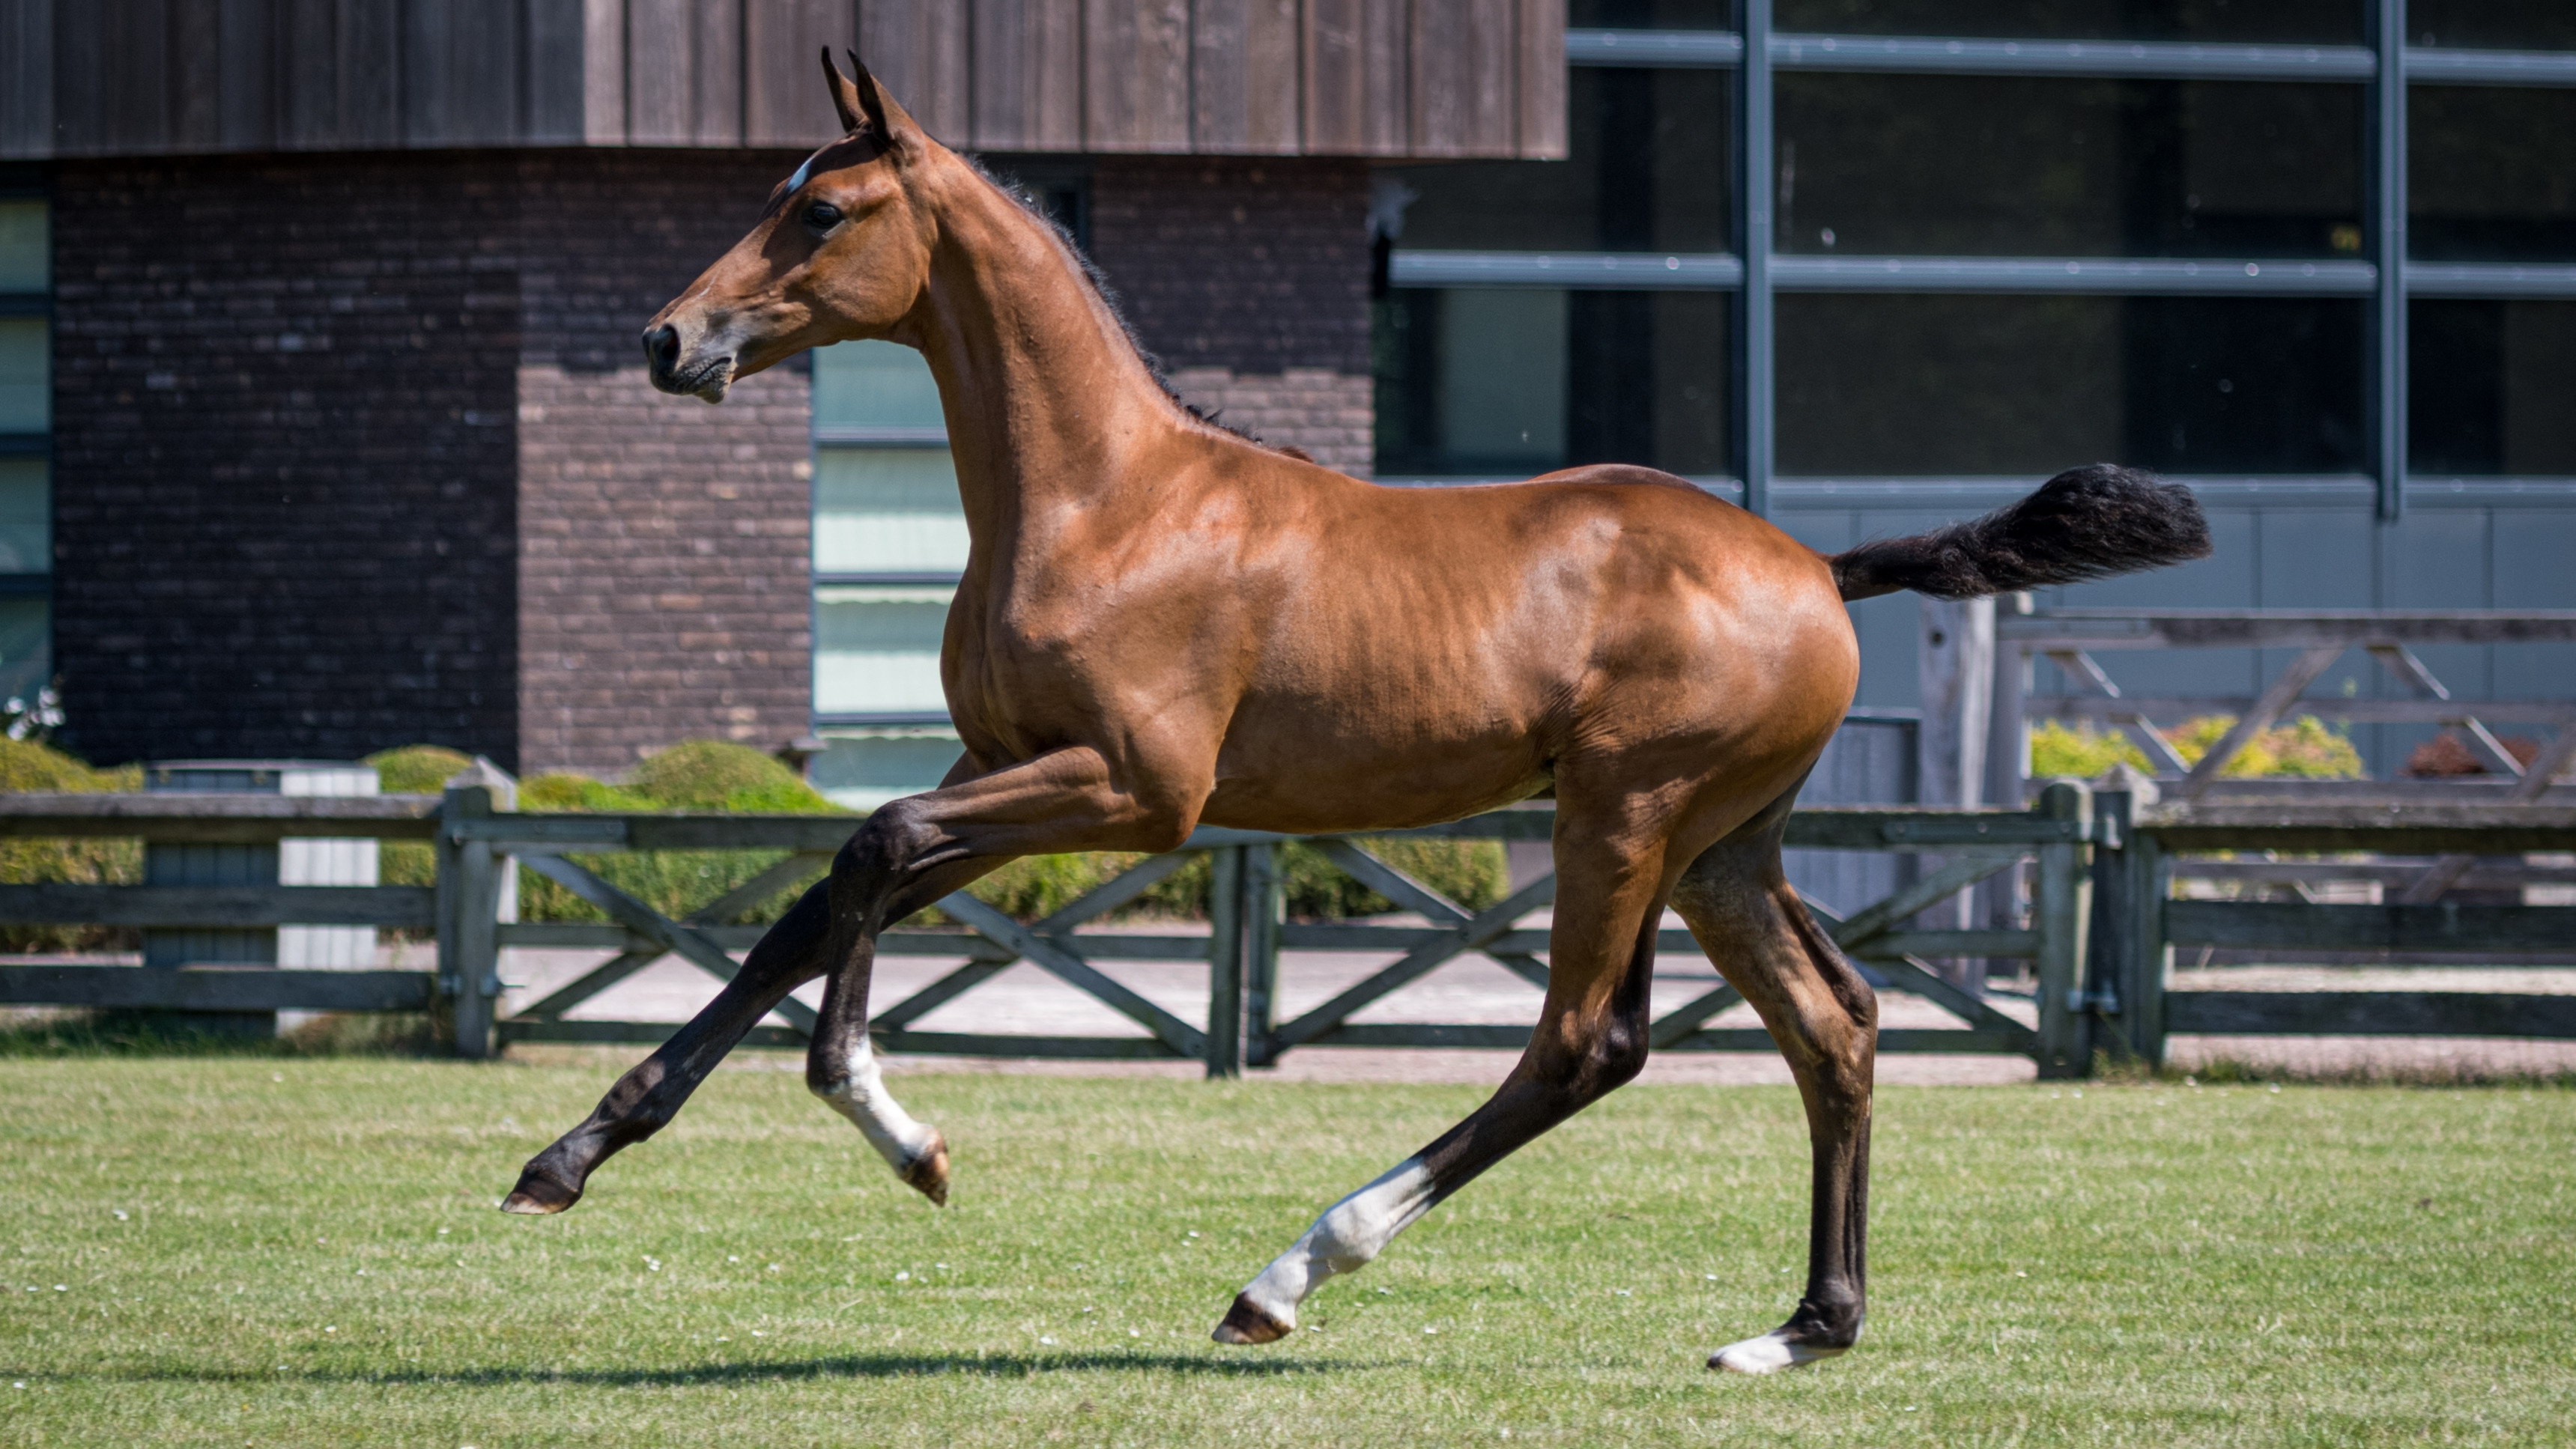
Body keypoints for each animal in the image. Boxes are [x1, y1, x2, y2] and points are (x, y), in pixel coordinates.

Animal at [501, 51, 2210, 1374]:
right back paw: (1799, 1329)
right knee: (1833, 1024)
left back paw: (1286, 1274)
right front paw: (566, 1156)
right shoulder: (1012, 765)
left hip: (1623, 816)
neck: (1107, 500)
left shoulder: (1134, 790)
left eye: (822, 209)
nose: (667, 339)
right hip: (1723, 847)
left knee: (1587, 1045)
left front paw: (896, 1128)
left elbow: (869, 848)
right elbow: (819, 900)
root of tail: (1812, 563)